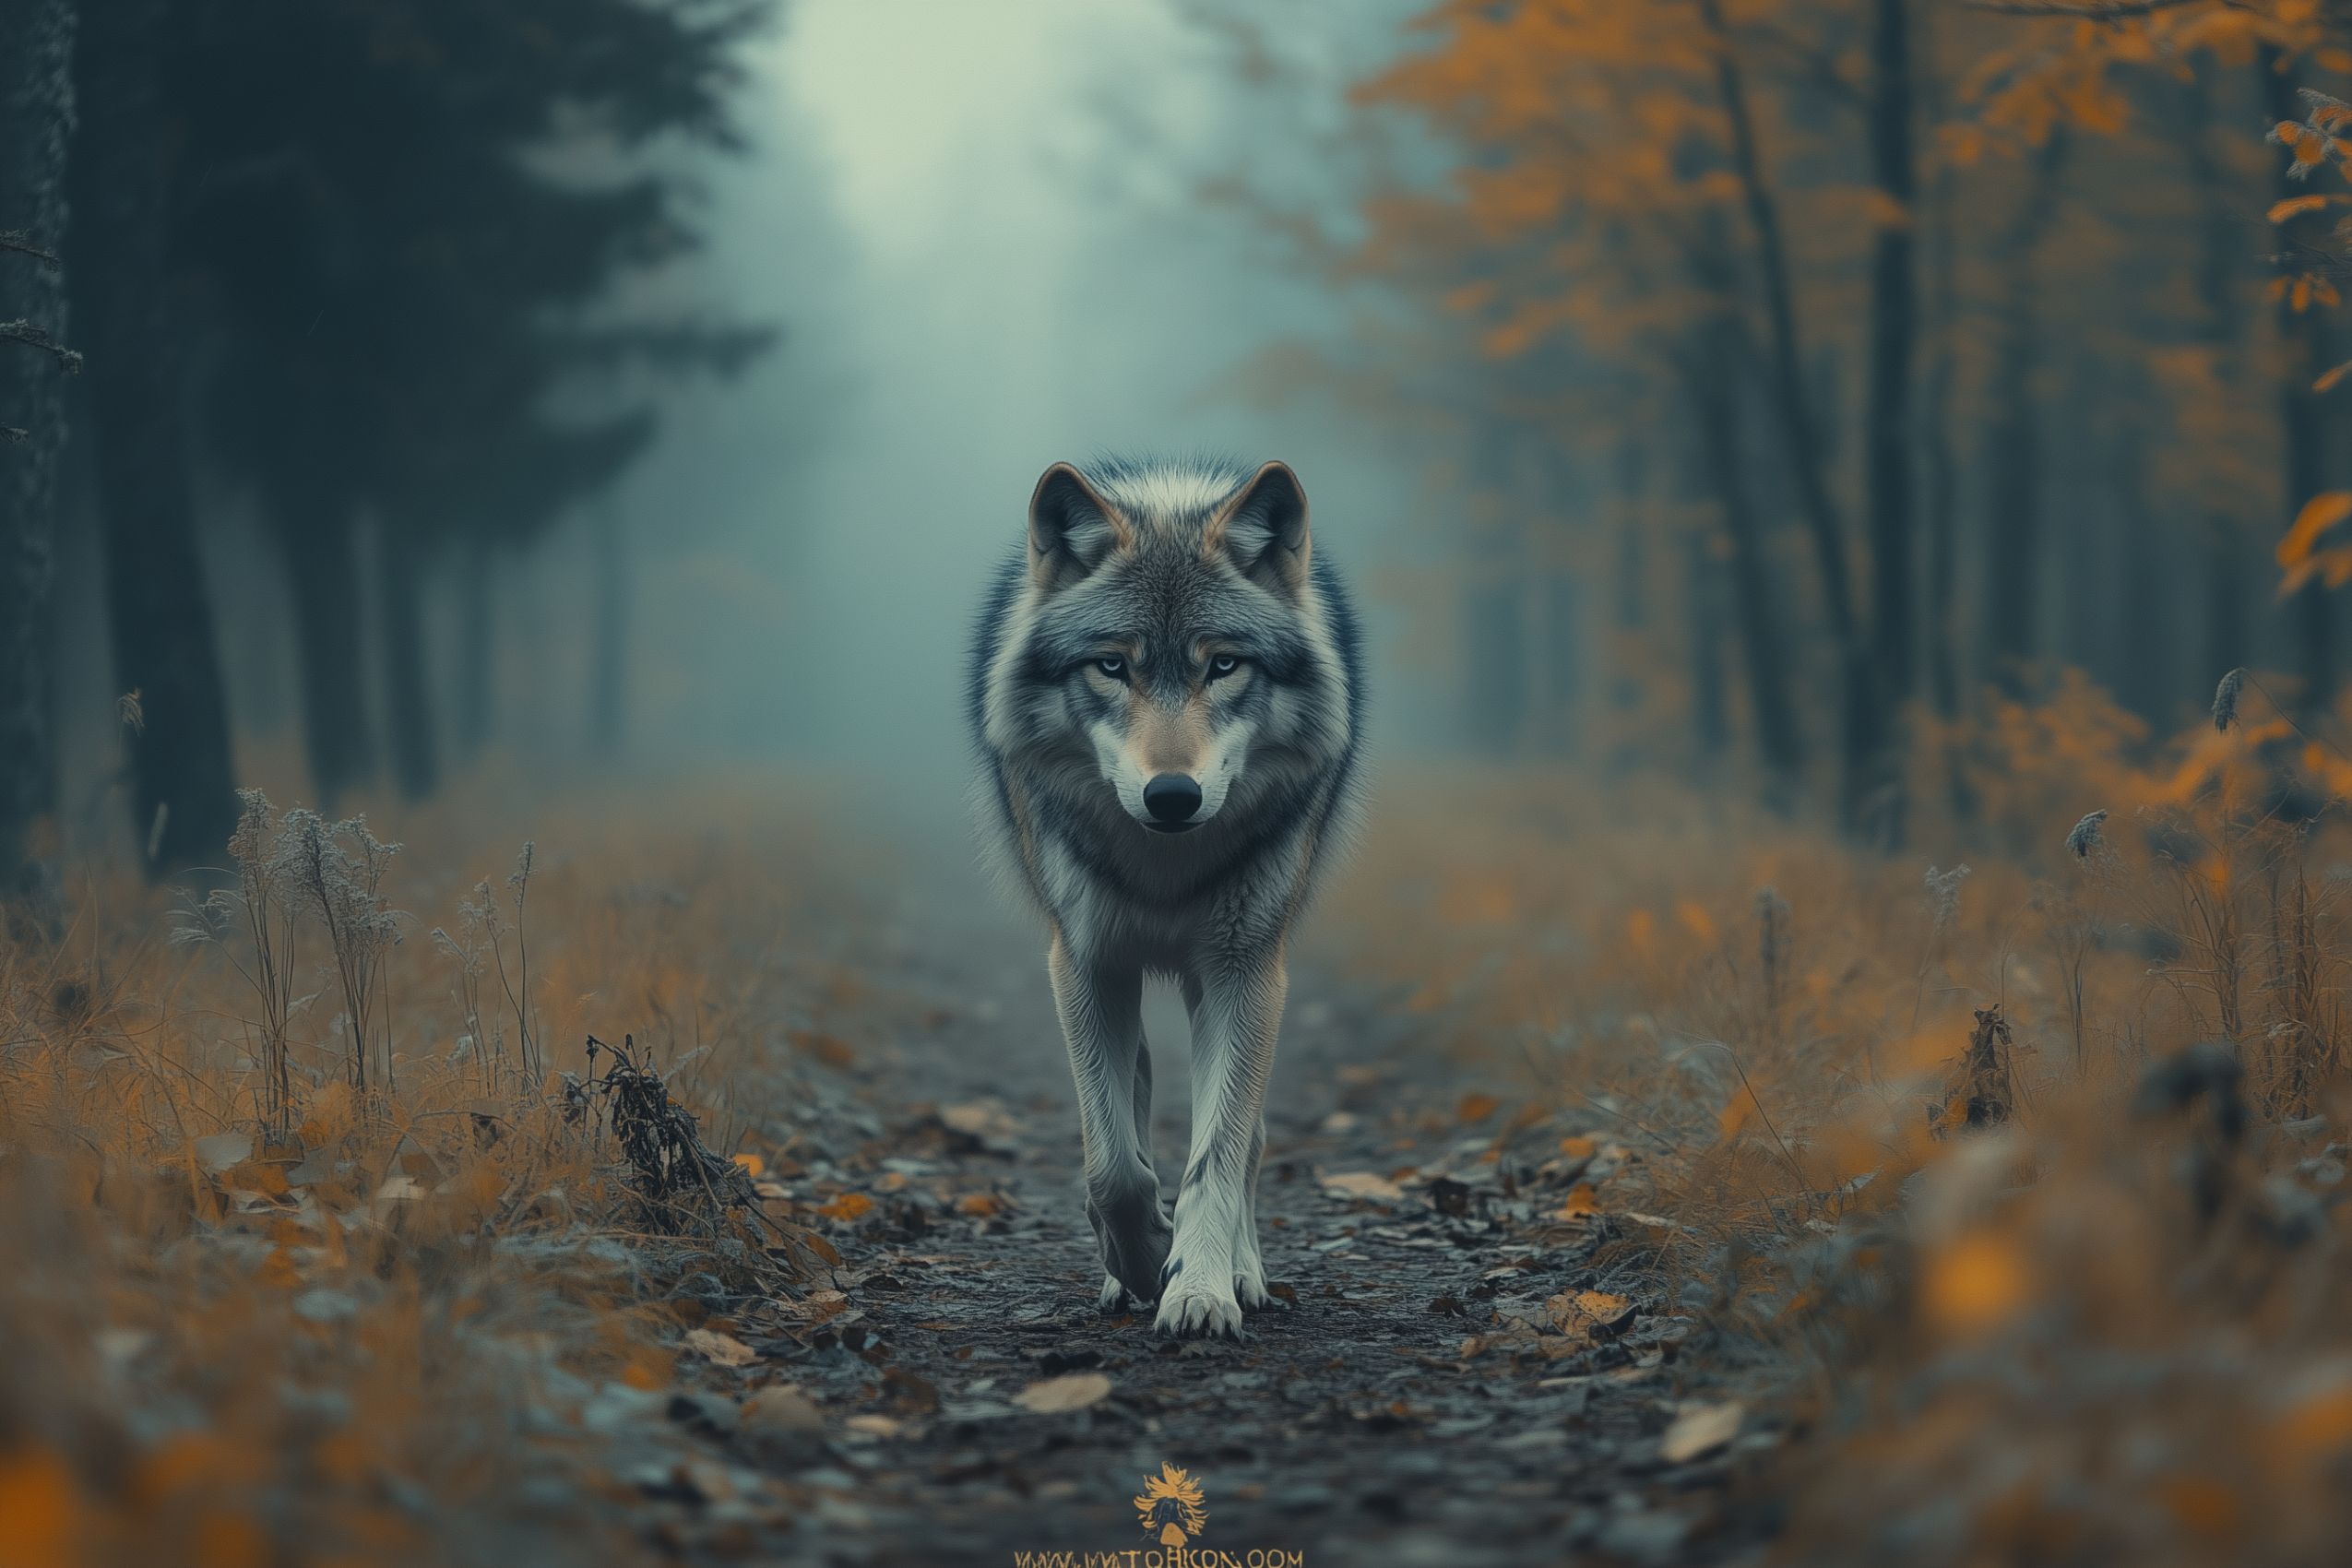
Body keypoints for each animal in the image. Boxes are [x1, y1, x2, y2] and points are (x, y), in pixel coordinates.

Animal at [967, 455, 1365, 1338]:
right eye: (1113, 665)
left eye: (1224, 664)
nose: (1173, 796)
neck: (1164, 865)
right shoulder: (1084, 967)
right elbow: (1113, 1167)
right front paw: (1145, 1261)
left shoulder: (1243, 972)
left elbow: (1216, 1155)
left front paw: (1199, 1287)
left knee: (1248, 1141)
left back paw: (1241, 1270)